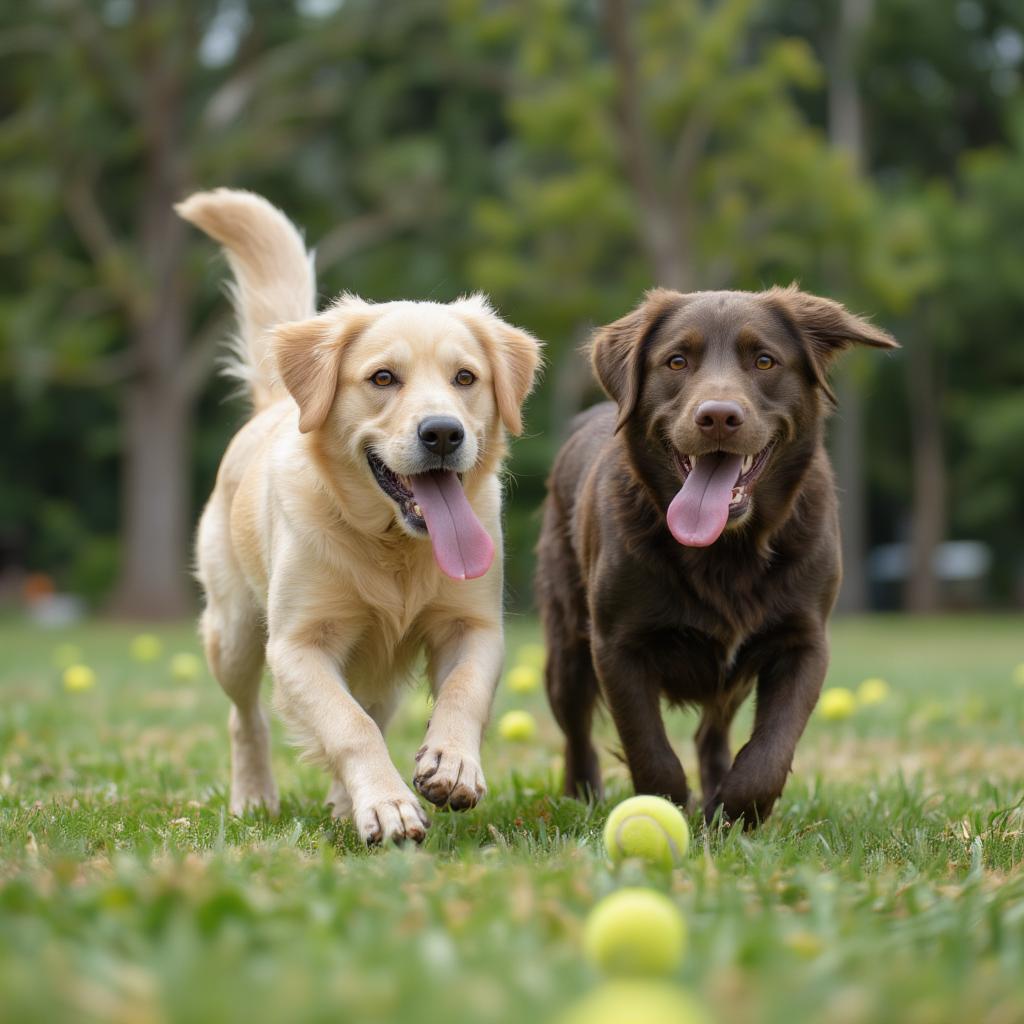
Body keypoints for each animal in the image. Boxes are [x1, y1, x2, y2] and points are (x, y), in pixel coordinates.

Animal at [176, 188, 544, 843]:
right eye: (382, 377)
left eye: (465, 377)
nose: (443, 432)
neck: (392, 543)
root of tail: (276, 400)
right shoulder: (297, 645)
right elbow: (348, 726)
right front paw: (388, 805)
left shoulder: (473, 625)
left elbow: (463, 693)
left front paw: (451, 762)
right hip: (234, 632)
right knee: (246, 717)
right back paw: (255, 797)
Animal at [536, 284, 897, 827]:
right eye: (677, 361)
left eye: (765, 361)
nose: (719, 416)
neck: (726, 550)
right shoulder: (616, 644)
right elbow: (650, 749)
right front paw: (670, 808)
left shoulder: (804, 641)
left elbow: (769, 751)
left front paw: (734, 814)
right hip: (567, 645)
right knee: (578, 732)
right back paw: (582, 796)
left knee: (712, 732)